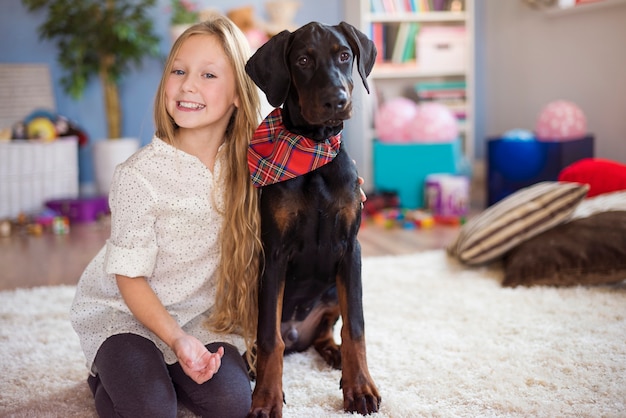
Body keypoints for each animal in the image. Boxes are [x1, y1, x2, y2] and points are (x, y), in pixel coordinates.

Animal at [244, 21, 380, 416]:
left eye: (345, 55)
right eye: (303, 60)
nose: (337, 99)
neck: (314, 149)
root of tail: (297, 336)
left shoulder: (351, 249)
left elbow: (355, 326)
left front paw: (359, 387)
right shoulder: (274, 254)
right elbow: (268, 336)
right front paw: (266, 397)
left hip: (334, 288)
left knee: (326, 332)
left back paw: (334, 354)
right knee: (271, 338)